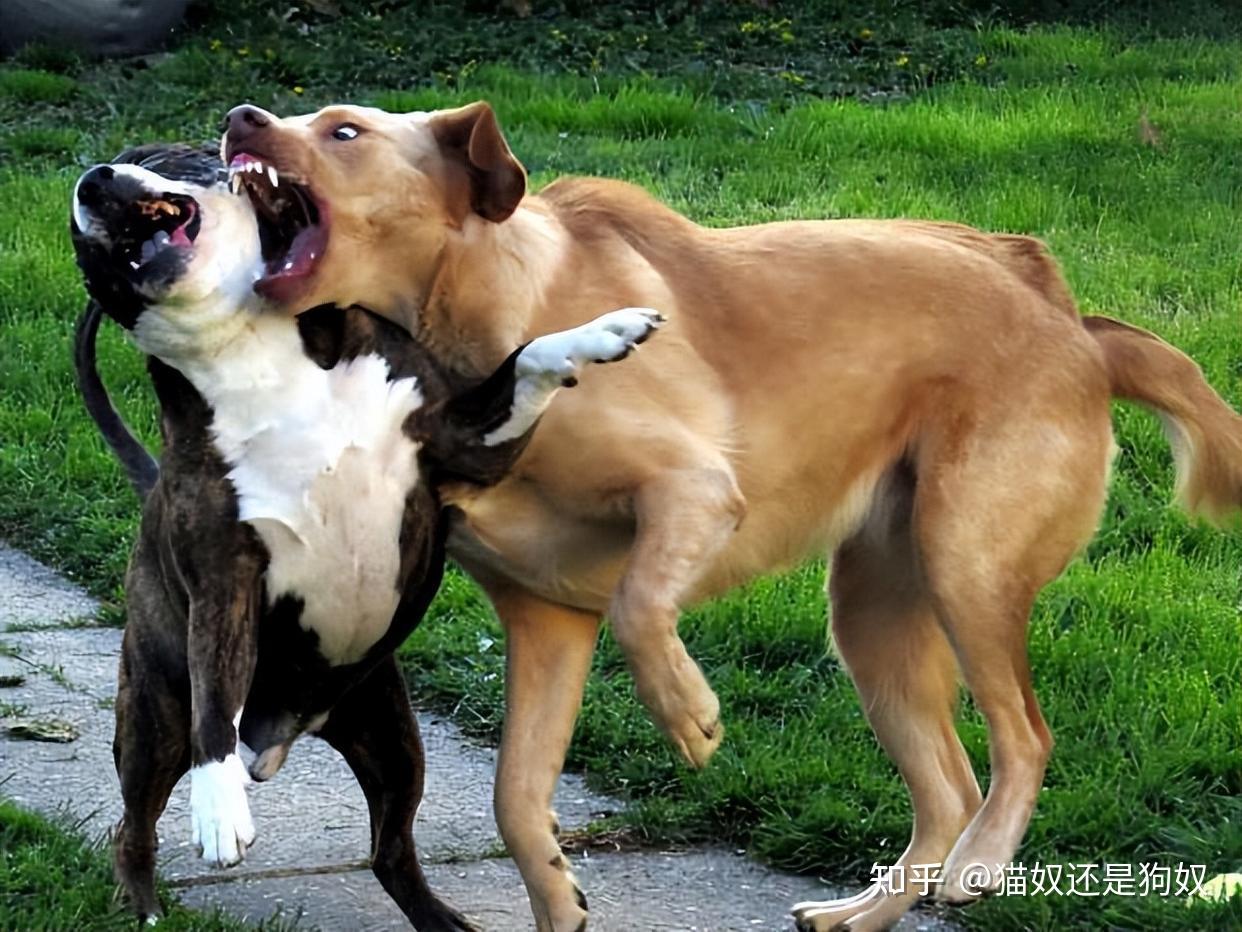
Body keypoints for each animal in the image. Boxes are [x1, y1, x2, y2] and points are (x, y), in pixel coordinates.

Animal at [218, 101, 1237, 932]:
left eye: (344, 131)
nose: (238, 118)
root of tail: (1075, 323)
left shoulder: (693, 489)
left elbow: (642, 608)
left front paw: (689, 714)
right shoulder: (546, 621)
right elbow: (515, 795)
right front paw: (559, 897)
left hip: (968, 567)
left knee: (1024, 739)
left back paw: (980, 864)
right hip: (873, 618)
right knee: (947, 787)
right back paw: (862, 912)